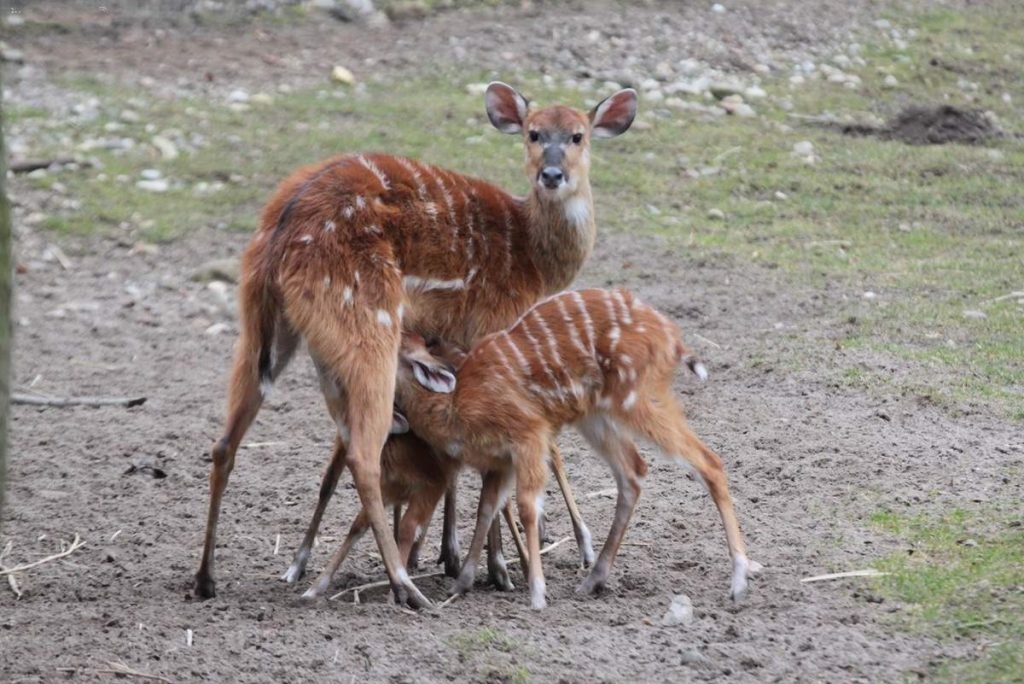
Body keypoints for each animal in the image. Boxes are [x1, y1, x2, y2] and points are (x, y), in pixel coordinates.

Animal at [192, 80, 634, 602]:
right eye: (533, 132)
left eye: (578, 135)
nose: (551, 174)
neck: (536, 261)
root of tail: (280, 229)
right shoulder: (495, 326)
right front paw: (505, 566)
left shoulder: (454, 340)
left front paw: (456, 555)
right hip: (368, 325)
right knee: (361, 453)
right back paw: (404, 585)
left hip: (263, 330)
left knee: (226, 443)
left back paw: (210, 578)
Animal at [387, 288, 749, 610]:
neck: (458, 404)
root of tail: (673, 338)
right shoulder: (501, 461)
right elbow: (487, 507)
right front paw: (462, 583)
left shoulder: (529, 435)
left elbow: (527, 507)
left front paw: (536, 594)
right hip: (598, 416)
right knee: (633, 471)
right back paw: (593, 580)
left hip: (638, 399)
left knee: (709, 461)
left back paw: (739, 582)